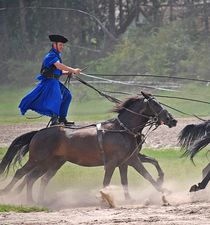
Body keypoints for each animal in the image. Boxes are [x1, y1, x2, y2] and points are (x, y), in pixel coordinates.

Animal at [0, 90, 177, 203]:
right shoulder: (121, 162)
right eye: (155, 104)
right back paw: (15, 195)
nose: (172, 119)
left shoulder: (127, 160)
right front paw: (163, 190)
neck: (122, 129)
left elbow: (131, 177)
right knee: (22, 173)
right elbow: (143, 176)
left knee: (36, 178)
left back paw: (38, 200)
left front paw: (131, 198)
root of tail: (39, 132)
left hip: (52, 163)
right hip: (38, 160)